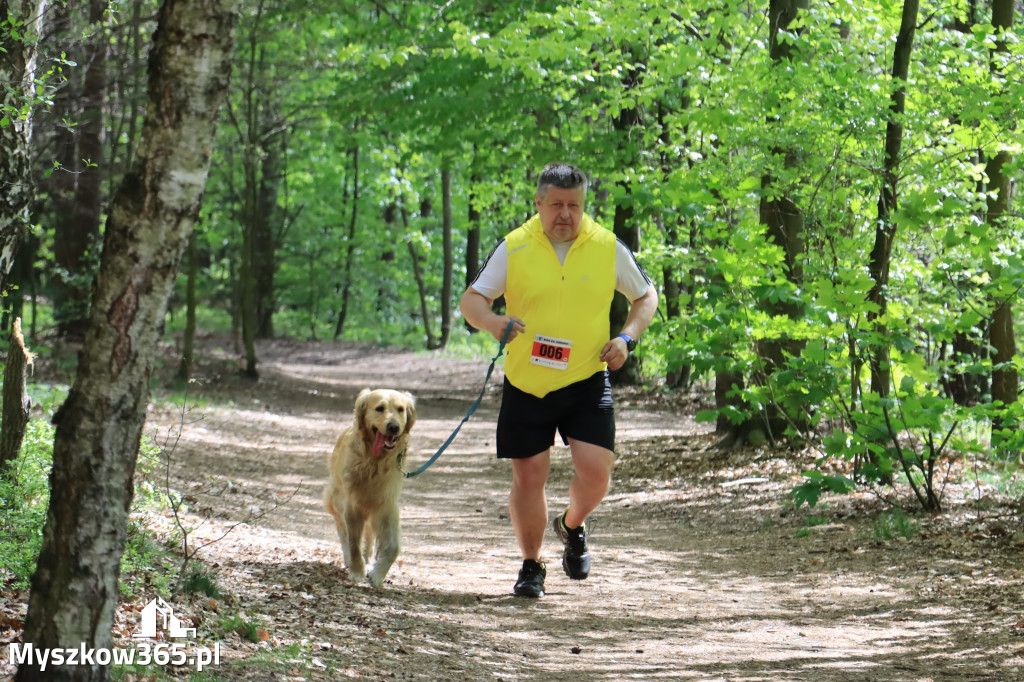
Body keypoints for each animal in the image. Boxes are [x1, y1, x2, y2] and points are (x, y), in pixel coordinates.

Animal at [321, 387, 413, 585]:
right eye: (379, 408)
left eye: (400, 409)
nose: (393, 427)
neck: (374, 461)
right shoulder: (352, 505)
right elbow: (353, 542)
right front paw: (357, 571)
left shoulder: (386, 505)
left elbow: (393, 548)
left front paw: (377, 574)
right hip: (336, 500)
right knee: (343, 532)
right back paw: (350, 559)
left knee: (369, 537)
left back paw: (369, 560)